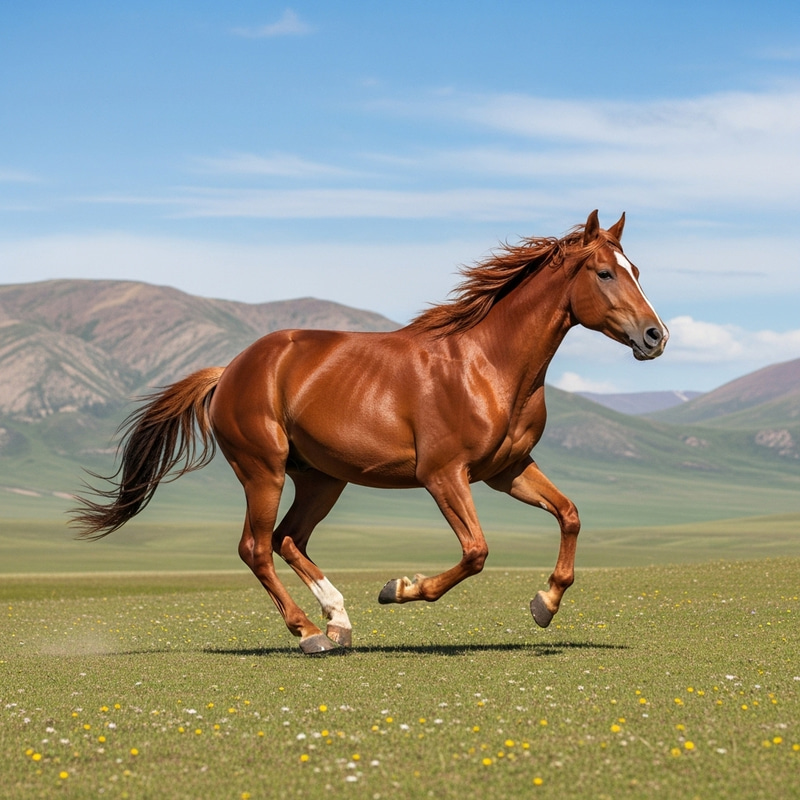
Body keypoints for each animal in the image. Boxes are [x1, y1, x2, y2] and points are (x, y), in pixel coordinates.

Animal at [71, 210, 668, 655]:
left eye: (635, 267)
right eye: (606, 273)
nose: (655, 336)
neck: (488, 365)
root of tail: (230, 370)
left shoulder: (507, 471)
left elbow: (570, 514)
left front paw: (545, 604)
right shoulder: (443, 474)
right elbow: (476, 551)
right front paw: (398, 588)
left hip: (321, 478)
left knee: (289, 538)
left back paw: (337, 619)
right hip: (263, 470)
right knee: (256, 546)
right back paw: (309, 633)